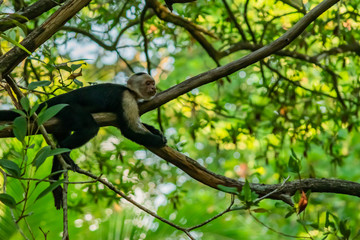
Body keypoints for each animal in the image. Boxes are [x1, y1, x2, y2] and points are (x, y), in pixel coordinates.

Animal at [0, 72, 166, 209]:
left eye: (152, 83)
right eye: (148, 83)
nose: (154, 87)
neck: (130, 91)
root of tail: (57, 99)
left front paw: (156, 131)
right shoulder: (126, 98)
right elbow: (128, 129)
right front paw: (158, 141)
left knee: (60, 142)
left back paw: (54, 178)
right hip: (67, 108)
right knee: (88, 129)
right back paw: (64, 154)